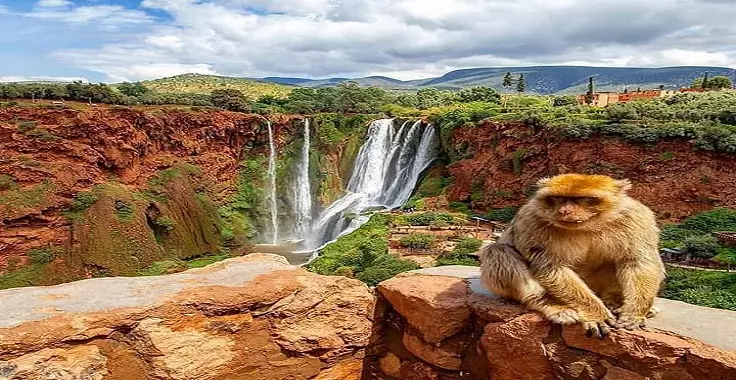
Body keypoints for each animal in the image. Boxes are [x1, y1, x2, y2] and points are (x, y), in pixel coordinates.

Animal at [480, 174, 664, 336]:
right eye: (557, 198)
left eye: (580, 198)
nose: (564, 211)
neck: (589, 225)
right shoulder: (533, 220)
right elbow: (551, 267)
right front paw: (597, 314)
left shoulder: (635, 217)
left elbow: (638, 261)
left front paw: (635, 312)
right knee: (497, 251)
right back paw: (551, 304)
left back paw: (615, 301)